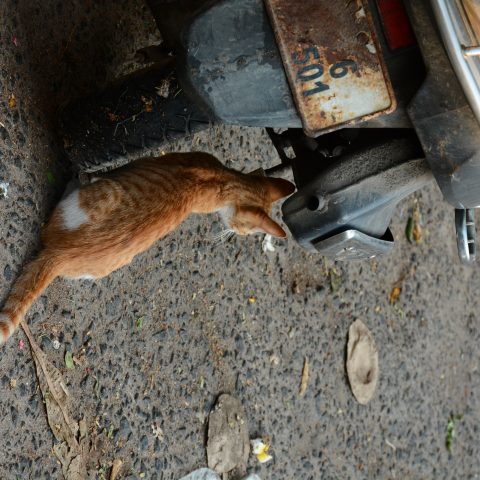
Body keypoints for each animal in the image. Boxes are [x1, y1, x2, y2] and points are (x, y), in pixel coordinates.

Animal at [0, 152, 294, 344]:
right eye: (248, 231)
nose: (234, 234)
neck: (225, 181)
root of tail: (60, 253)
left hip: (97, 196)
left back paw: (74, 179)